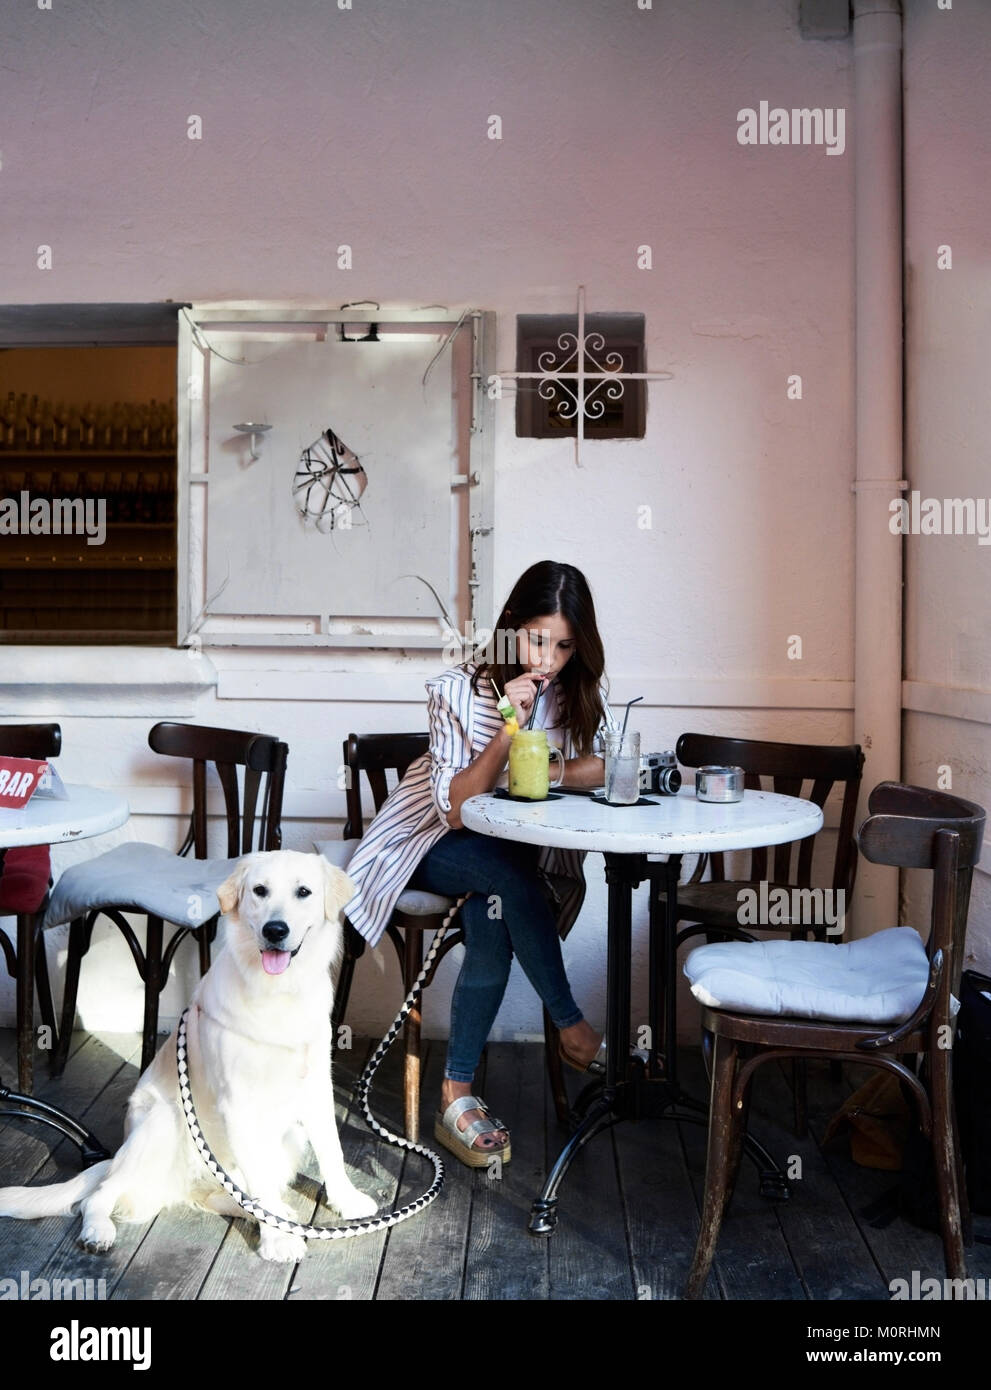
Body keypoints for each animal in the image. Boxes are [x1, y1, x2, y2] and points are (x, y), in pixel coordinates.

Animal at [0, 845, 378, 1262]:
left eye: (304, 892)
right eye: (260, 891)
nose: (275, 930)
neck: (276, 994)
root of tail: (117, 1156)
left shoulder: (314, 1088)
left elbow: (332, 1151)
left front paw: (346, 1201)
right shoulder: (237, 1103)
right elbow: (263, 1182)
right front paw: (278, 1240)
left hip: (285, 1136)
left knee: (226, 1195)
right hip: (164, 1121)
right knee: (98, 1195)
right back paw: (98, 1231)